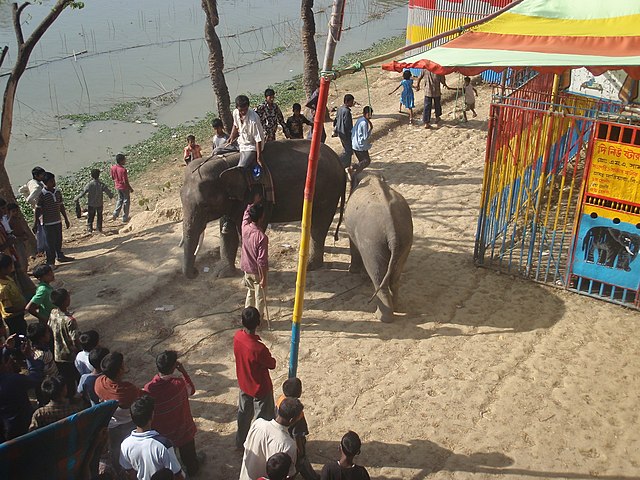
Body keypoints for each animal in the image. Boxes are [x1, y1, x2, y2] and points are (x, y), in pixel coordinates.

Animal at [180, 140, 344, 278]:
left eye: (205, 205)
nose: (195, 272)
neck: (225, 163)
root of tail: (337, 160)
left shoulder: (258, 194)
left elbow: (249, 229)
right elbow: (227, 232)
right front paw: (223, 274)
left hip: (328, 191)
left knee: (319, 225)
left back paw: (310, 266)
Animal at [344, 172, 416, 322]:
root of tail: (391, 229)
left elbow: (353, 244)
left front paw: (353, 271)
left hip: (372, 242)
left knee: (376, 275)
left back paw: (382, 317)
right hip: (405, 238)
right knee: (395, 277)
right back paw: (396, 309)